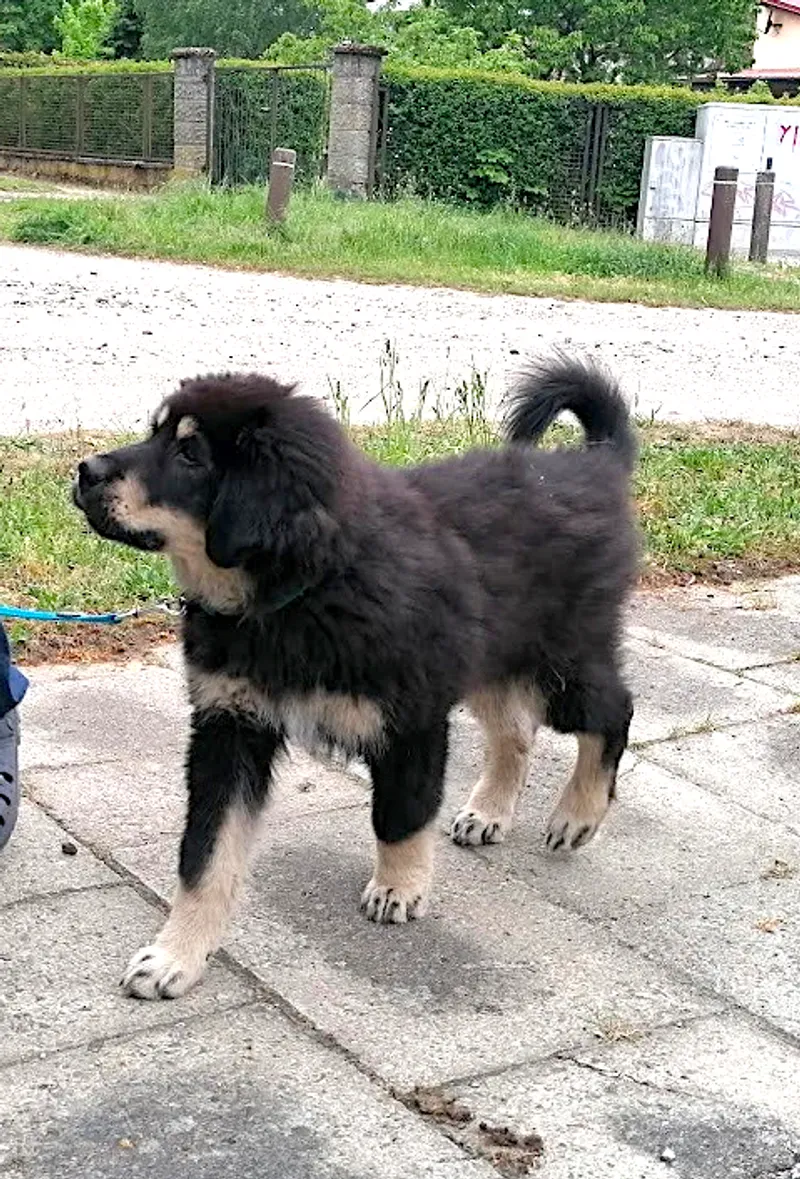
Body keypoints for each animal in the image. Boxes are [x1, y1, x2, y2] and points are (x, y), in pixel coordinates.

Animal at [73, 354, 638, 1000]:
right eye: (155, 432)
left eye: (191, 454)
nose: (84, 471)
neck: (297, 592)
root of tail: (596, 464)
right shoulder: (229, 724)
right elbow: (205, 855)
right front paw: (175, 955)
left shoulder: (410, 719)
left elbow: (399, 814)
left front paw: (399, 887)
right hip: (489, 655)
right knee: (516, 731)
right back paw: (490, 812)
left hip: (556, 661)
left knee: (613, 709)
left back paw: (578, 815)